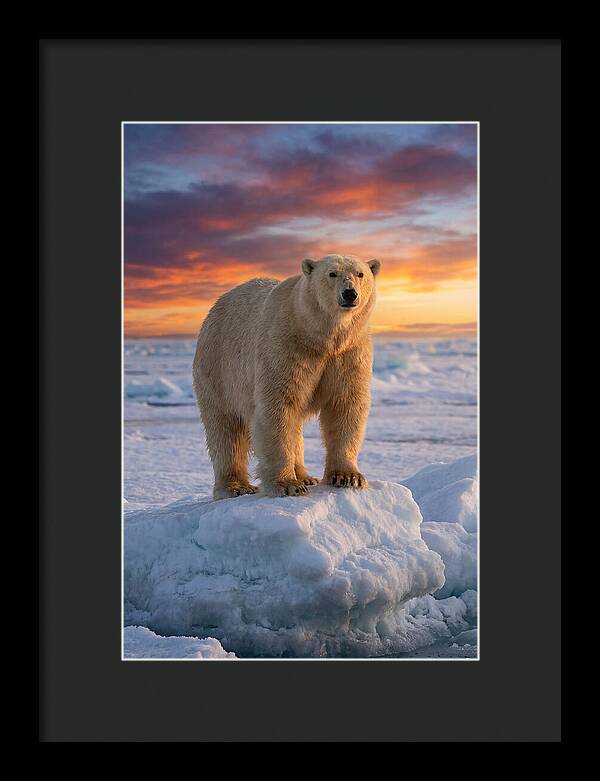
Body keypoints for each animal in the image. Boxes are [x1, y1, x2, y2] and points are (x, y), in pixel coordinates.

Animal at [192, 254, 381, 499]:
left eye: (360, 274)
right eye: (332, 274)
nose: (350, 293)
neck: (319, 336)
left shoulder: (349, 353)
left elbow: (345, 405)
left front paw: (348, 477)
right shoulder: (285, 347)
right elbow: (278, 406)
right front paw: (287, 484)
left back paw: (306, 476)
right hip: (218, 368)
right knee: (226, 429)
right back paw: (236, 486)